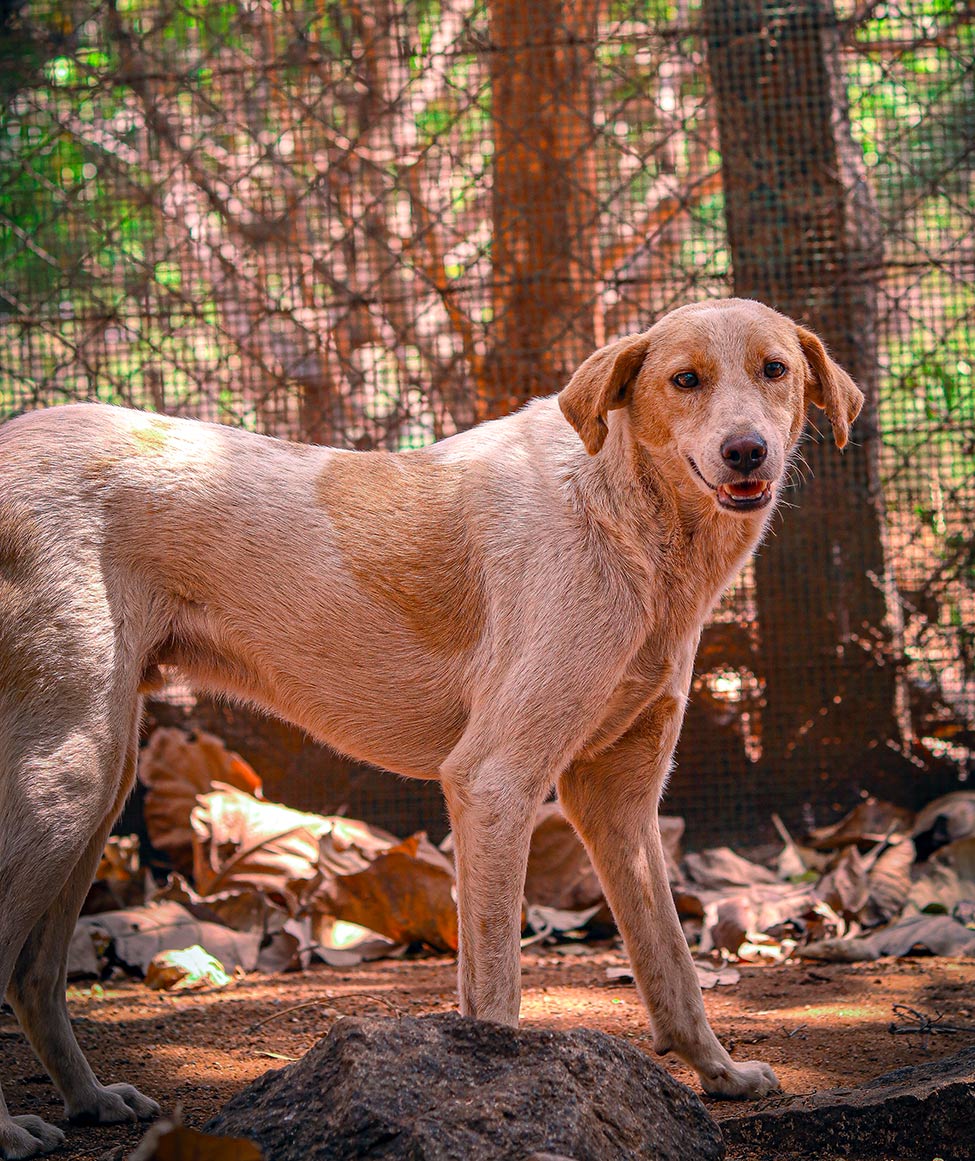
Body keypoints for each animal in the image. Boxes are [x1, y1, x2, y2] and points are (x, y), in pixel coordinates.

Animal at [0, 298, 863, 1157]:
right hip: (66, 783)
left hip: (100, 784)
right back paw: (13, 1130)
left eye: (774, 370)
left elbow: (671, 965)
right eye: (685, 380)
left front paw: (719, 1073)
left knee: (32, 974)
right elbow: (497, 990)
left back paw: (89, 1099)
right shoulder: (493, 781)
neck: (620, 506)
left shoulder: (616, 802)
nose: (745, 449)